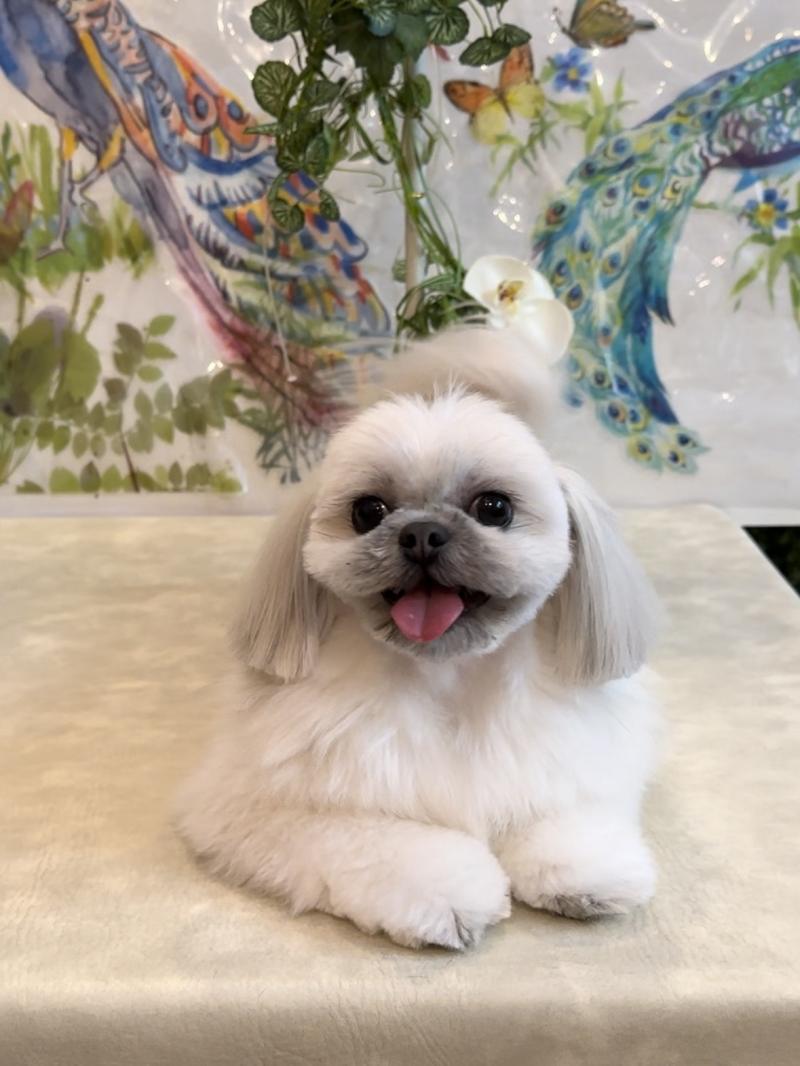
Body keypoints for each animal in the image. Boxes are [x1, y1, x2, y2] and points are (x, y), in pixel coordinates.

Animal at [176, 327, 660, 949]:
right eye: (367, 510)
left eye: (494, 507)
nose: (423, 533)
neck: (447, 681)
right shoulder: (251, 806)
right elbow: (374, 840)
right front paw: (448, 895)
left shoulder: (567, 758)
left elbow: (563, 810)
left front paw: (581, 873)